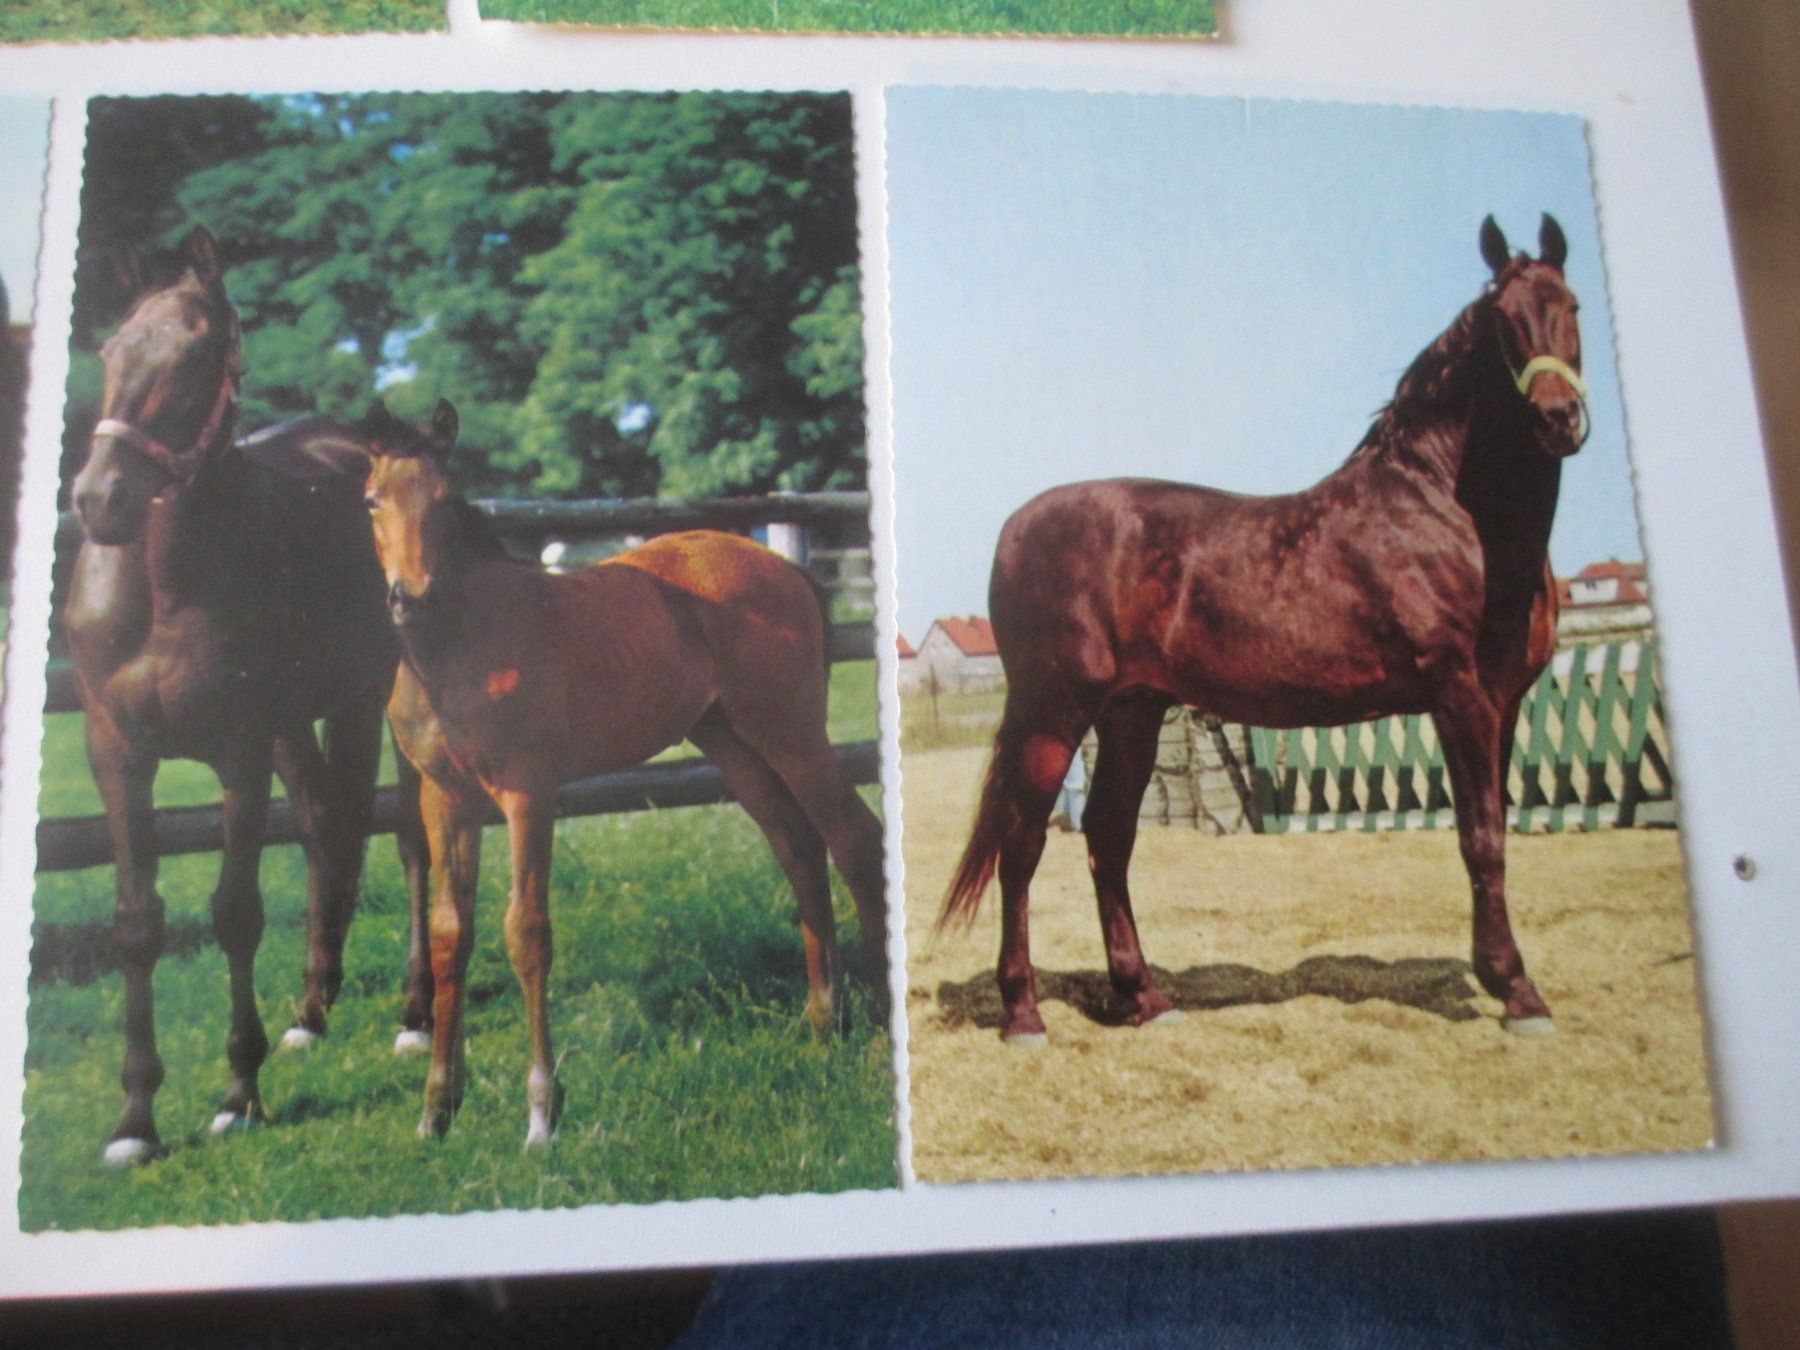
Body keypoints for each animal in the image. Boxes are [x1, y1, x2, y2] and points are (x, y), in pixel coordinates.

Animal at [65, 227, 432, 1166]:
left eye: (199, 360)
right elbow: (137, 922)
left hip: (379, 703)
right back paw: (311, 1010)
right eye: (110, 351)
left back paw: (415, 1015)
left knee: (410, 835)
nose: (100, 499)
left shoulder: (235, 749)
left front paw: (238, 1093)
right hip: (299, 725)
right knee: (326, 829)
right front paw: (135, 1120)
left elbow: (234, 912)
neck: (162, 585)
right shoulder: (118, 754)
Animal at [360, 401, 889, 1148]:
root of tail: (780, 568)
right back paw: (822, 1022)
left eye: (445, 500)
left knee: (855, 841)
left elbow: (526, 932)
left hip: (790, 735)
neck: (461, 646)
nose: (413, 598)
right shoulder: (446, 801)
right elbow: (448, 937)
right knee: (800, 849)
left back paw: (878, 1033)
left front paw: (542, 1114)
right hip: (733, 744)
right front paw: (437, 1109)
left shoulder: (527, 793)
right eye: (372, 500)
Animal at [940, 215, 1588, 1046]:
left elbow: (1494, 829)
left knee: (1108, 839)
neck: (1450, 512)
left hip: (1131, 712)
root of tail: (1015, 528)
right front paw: (1518, 991)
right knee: (1023, 846)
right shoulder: (1460, 697)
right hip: (1056, 710)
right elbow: (1481, 838)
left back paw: (1146, 997)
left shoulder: (1504, 704)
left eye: (1571, 305)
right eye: (1502, 321)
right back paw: (1023, 1012)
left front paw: (1504, 979)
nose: (1558, 418)